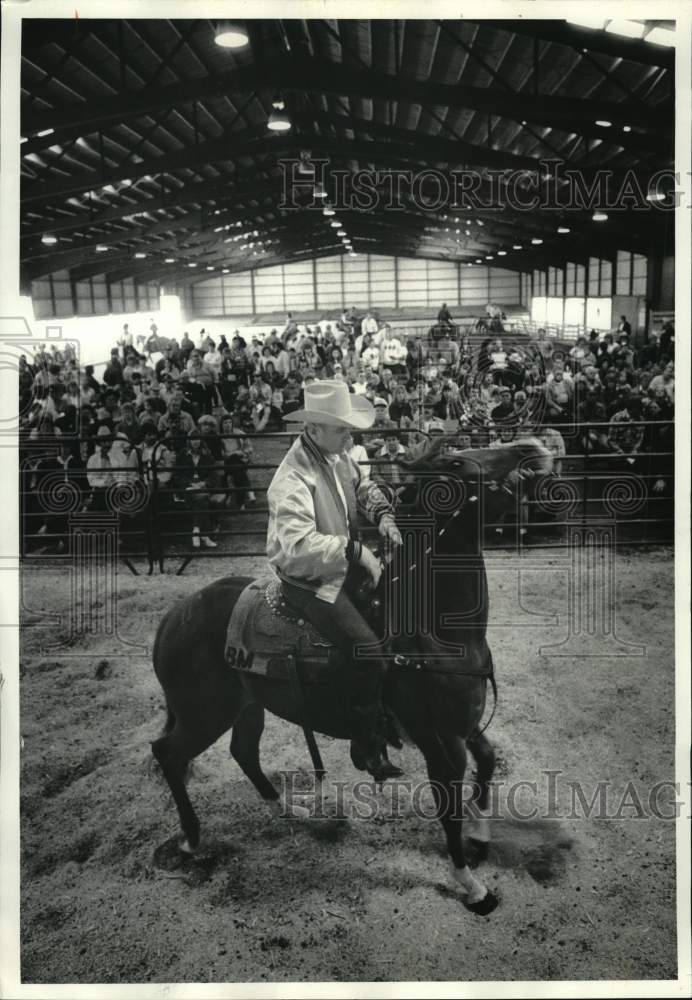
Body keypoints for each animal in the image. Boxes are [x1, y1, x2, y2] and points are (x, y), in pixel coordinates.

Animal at [151, 436, 552, 916]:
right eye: (455, 462)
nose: (530, 447)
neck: (435, 634)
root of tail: (174, 617)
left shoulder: (465, 725)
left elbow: (489, 762)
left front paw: (479, 833)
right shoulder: (437, 741)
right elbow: (448, 805)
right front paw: (470, 884)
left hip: (247, 706)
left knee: (243, 751)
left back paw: (287, 810)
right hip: (204, 714)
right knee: (168, 754)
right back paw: (192, 839)